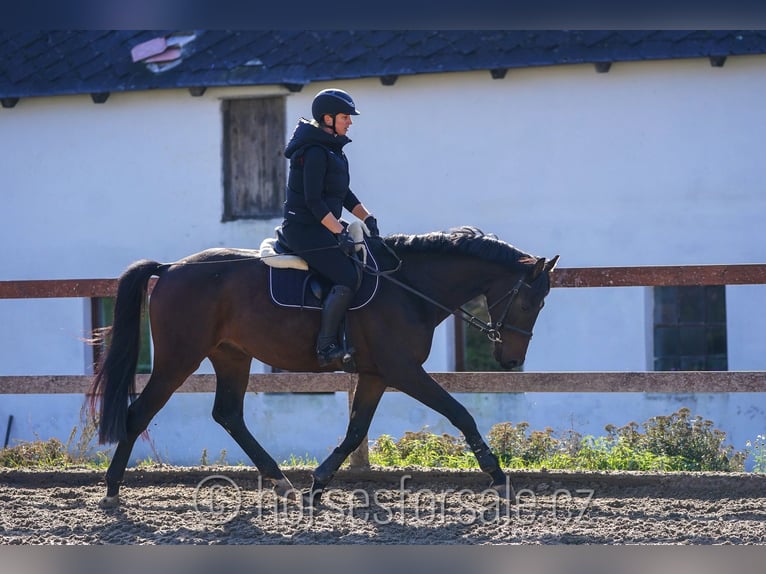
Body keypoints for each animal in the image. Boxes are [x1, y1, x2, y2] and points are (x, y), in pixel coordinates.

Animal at [88, 226, 559, 508]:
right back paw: (111, 490)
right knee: (138, 413)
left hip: (231, 354)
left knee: (228, 414)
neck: (410, 288)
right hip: (179, 358)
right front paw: (497, 475)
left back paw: (281, 481)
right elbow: (460, 413)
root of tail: (170, 269)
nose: (512, 360)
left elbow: (354, 431)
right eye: (527, 302)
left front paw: (318, 485)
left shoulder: (376, 374)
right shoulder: (403, 371)